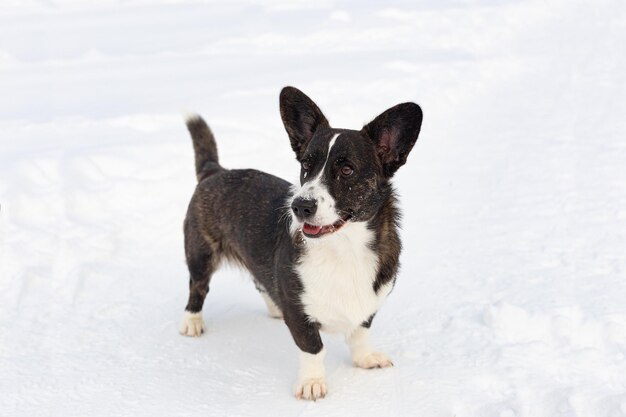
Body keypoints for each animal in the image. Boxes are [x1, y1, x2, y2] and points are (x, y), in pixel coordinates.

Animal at [180, 87, 422, 400]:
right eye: (306, 165)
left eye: (347, 170)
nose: (299, 206)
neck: (344, 248)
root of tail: (216, 170)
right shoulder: (298, 315)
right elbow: (313, 348)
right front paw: (312, 383)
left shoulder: (369, 305)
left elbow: (360, 332)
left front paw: (364, 358)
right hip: (200, 254)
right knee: (197, 287)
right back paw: (192, 322)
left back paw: (273, 306)